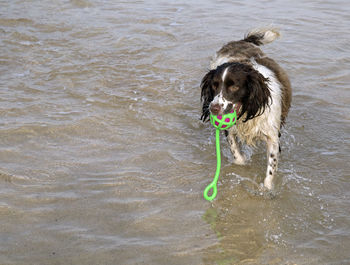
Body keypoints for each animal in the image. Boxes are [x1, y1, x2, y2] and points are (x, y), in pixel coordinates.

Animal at [200, 27, 292, 189]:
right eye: (214, 85)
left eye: (234, 87)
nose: (213, 108)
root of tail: (241, 41)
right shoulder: (230, 130)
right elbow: (237, 155)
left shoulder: (272, 137)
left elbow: (271, 168)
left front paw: (266, 189)